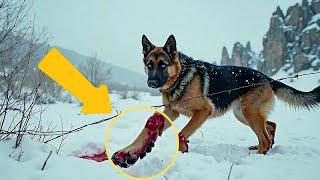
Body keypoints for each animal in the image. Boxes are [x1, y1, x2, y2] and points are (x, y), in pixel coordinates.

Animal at [111, 35, 318, 169]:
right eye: (149, 65)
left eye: (163, 65)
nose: (152, 83)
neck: (180, 78)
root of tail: (266, 77)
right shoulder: (171, 111)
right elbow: (147, 128)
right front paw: (127, 152)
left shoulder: (203, 111)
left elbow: (181, 133)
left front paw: (183, 147)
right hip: (242, 114)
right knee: (271, 125)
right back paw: (262, 146)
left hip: (249, 113)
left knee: (265, 139)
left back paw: (258, 158)